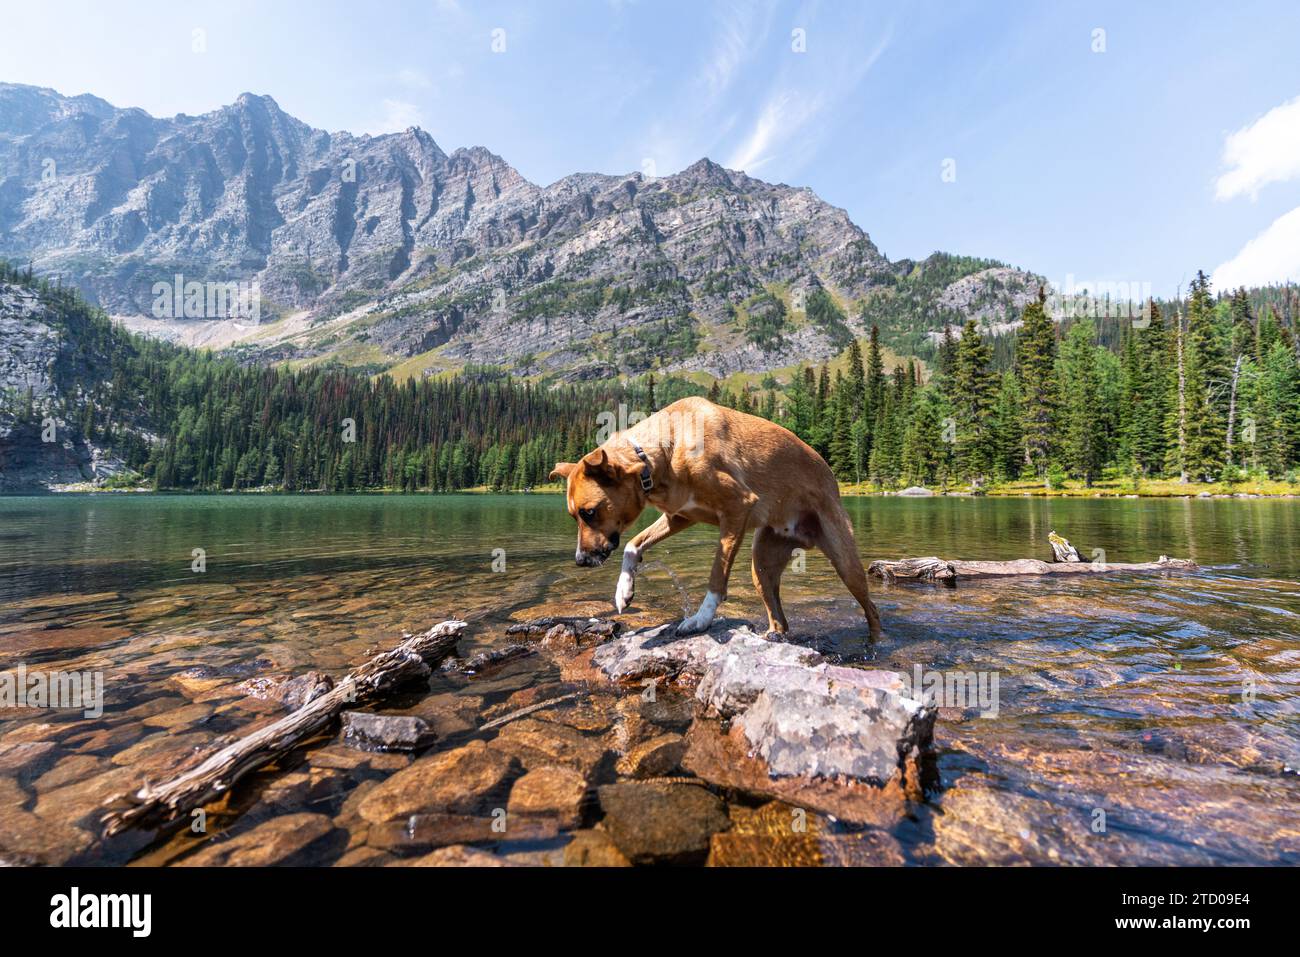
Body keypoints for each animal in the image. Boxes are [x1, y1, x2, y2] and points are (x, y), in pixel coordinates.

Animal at [548, 392, 883, 639]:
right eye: (574, 516)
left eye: (589, 512)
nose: (580, 560)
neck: (665, 450)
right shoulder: (679, 516)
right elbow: (633, 545)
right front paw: (624, 591)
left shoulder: (737, 508)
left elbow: (716, 575)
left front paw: (701, 619)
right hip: (761, 566)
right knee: (779, 618)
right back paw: (773, 636)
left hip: (845, 561)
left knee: (872, 610)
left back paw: (876, 641)